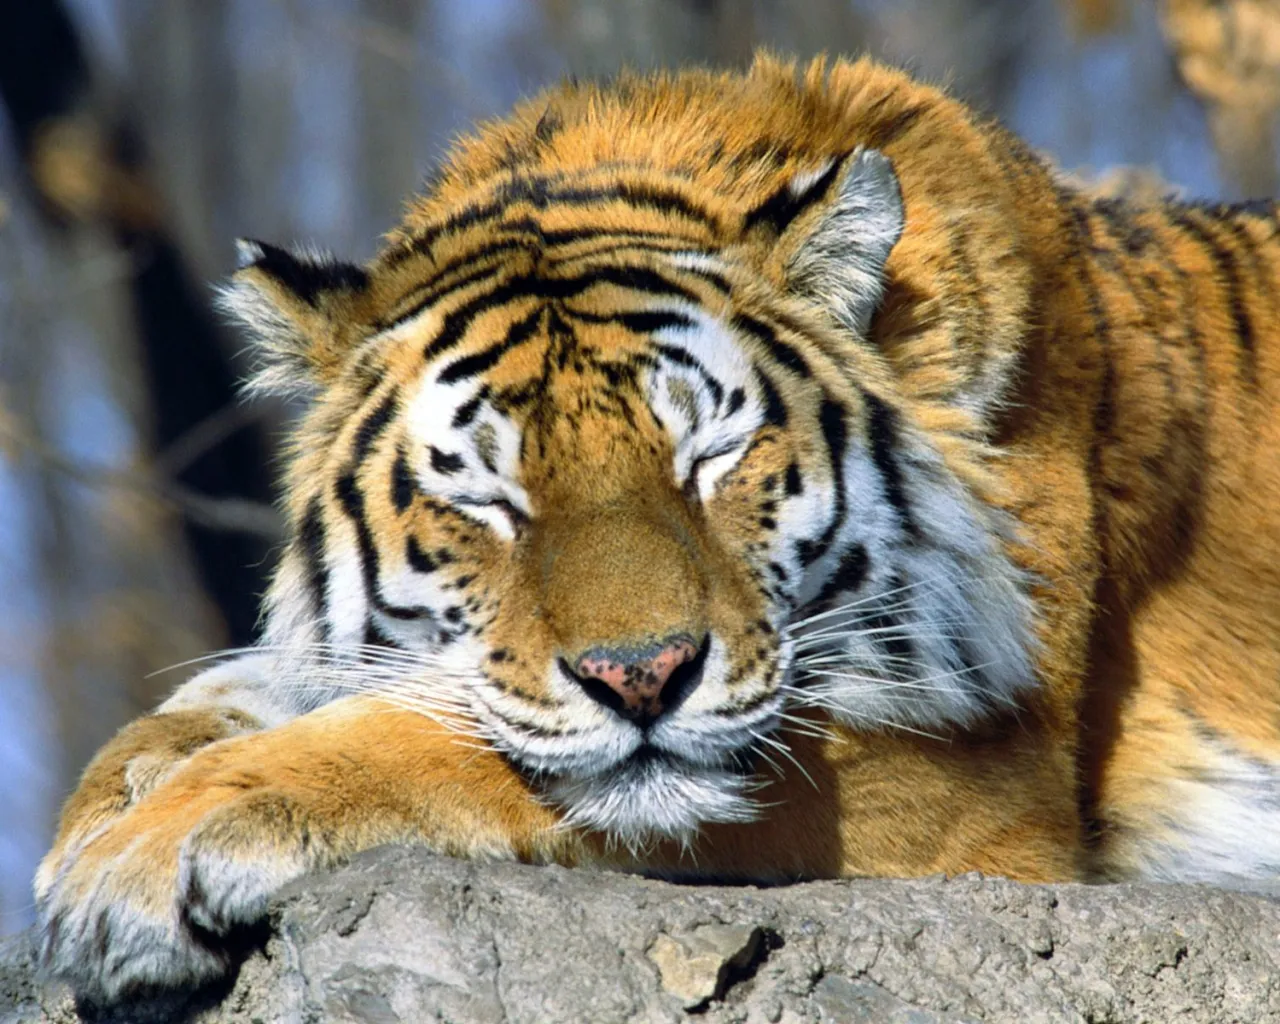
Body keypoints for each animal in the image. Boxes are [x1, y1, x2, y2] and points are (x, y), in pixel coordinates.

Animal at [34, 53, 1280, 1006]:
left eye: (708, 458)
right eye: (489, 497)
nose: (641, 677)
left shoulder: (973, 786)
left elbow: (431, 741)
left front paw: (139, 861)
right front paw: (103, 810)